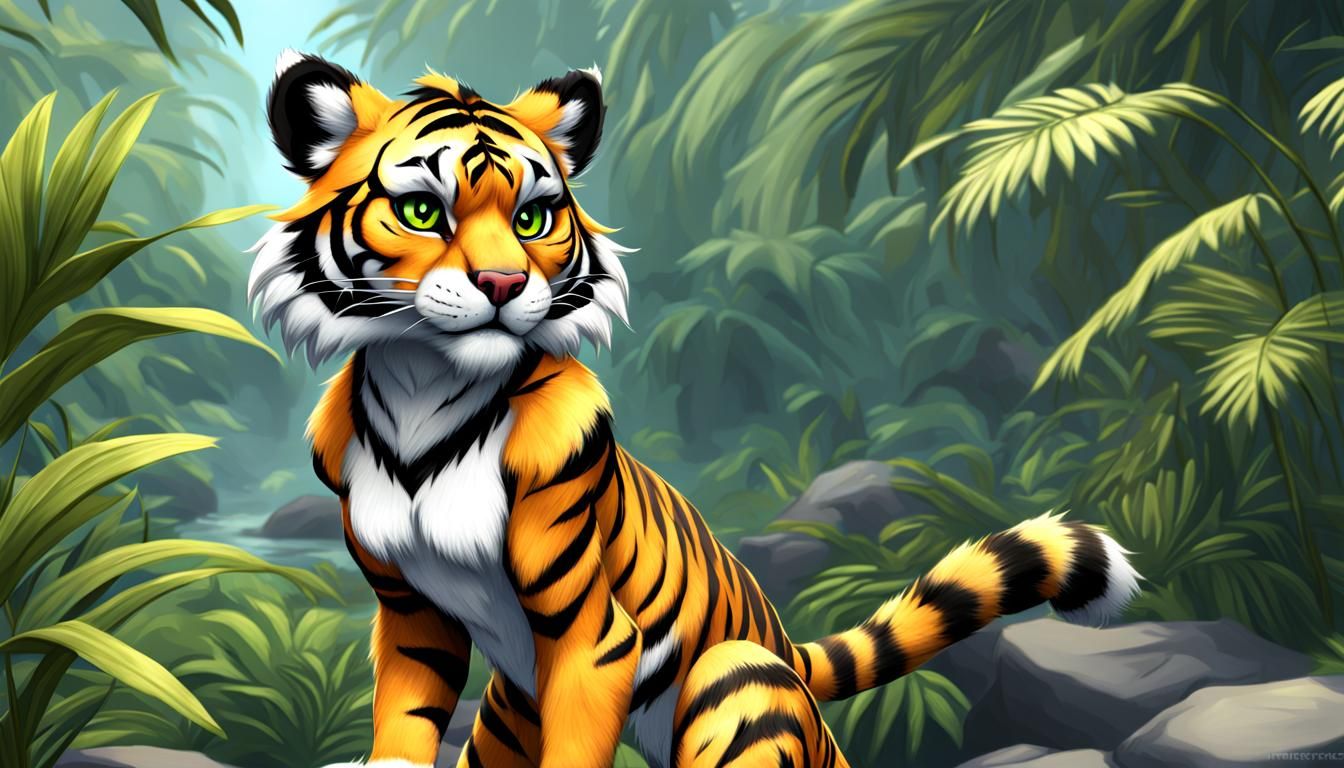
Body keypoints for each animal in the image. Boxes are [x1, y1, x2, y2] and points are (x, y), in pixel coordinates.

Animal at [248, 50, 1141, 768]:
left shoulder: (590, 633)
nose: (504, 285)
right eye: (423, 211)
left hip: (732, 679)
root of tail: (784, 642)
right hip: (514, 702)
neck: (423, 392)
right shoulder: (410, 611)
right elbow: (405, 716)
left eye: (532, 218)